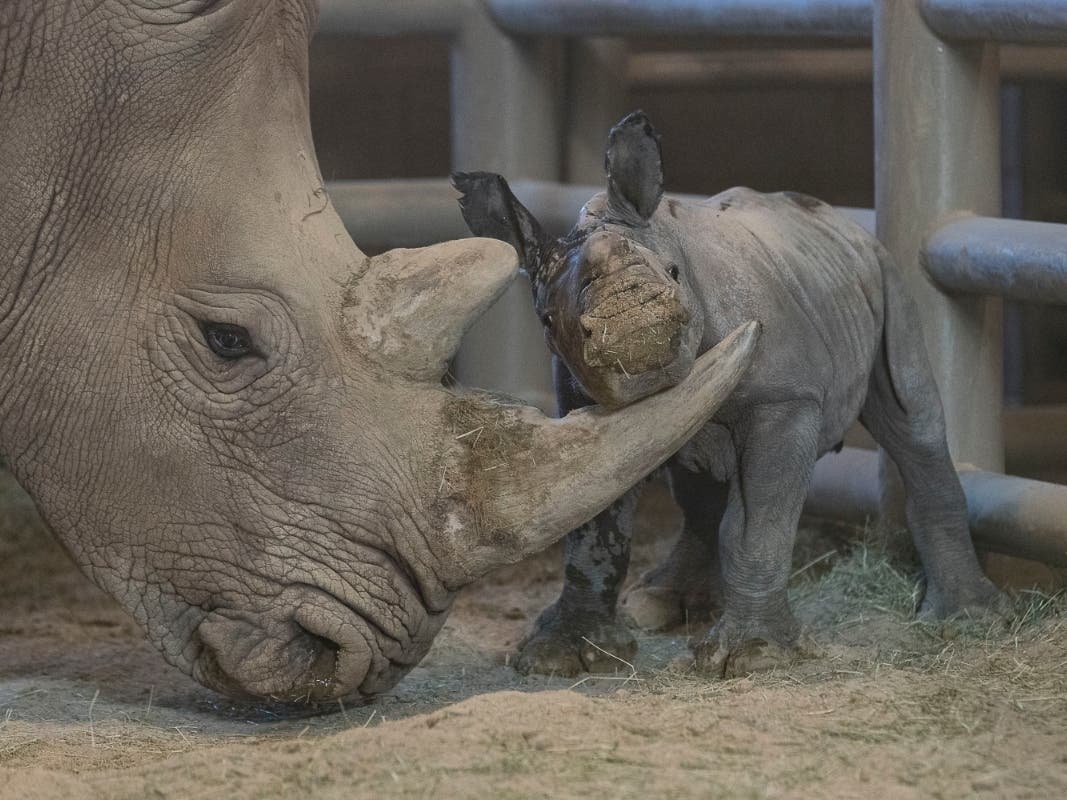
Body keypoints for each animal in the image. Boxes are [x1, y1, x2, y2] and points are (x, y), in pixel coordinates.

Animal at [454, 111, 1005, 677]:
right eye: (546, 319)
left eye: (674, 273)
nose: (633, 331)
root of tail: (844, 219)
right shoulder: (582, 401)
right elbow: (593, 526)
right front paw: (557, 656)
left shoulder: (784, 400)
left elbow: (757, 523)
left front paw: (752, 656)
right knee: (699, 479)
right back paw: (663, 605)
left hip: (885, 276)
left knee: (912, 422)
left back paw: (967, 620)